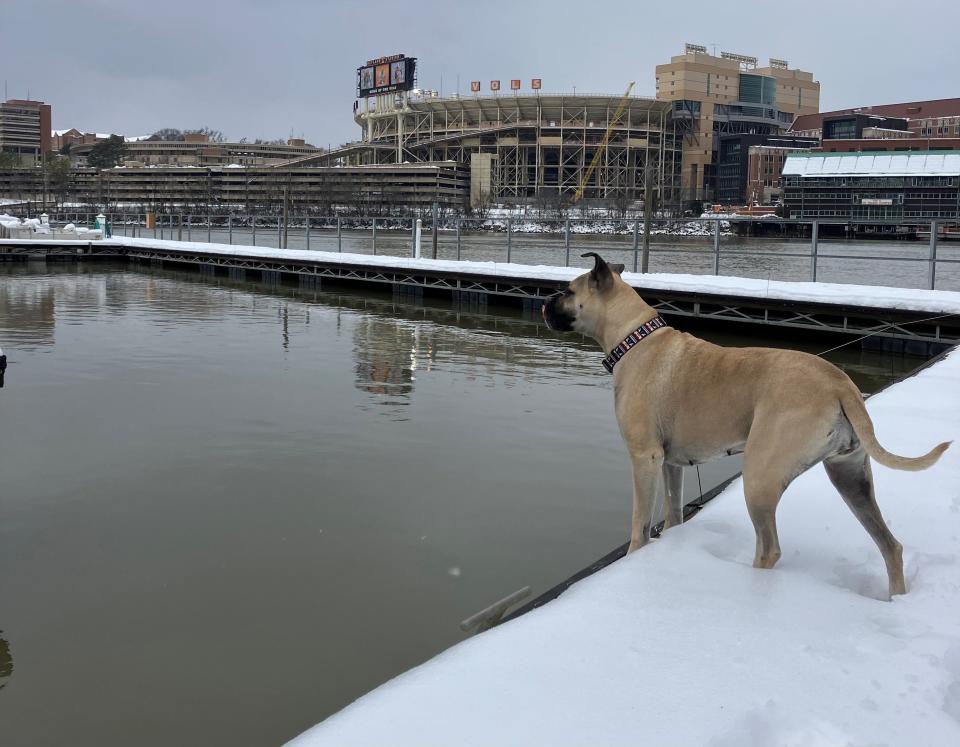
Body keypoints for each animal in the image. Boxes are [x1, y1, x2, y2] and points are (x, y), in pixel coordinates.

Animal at [544, 254, 948, 600]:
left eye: (568, 291)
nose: (547, 302)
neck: (632, 338)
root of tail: (840, 384)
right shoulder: (672, 463)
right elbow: (673, 514)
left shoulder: (645, 457)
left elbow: (639, 524)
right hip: (850, 475)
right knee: (889, 545)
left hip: (760, 476)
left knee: (770, 549)